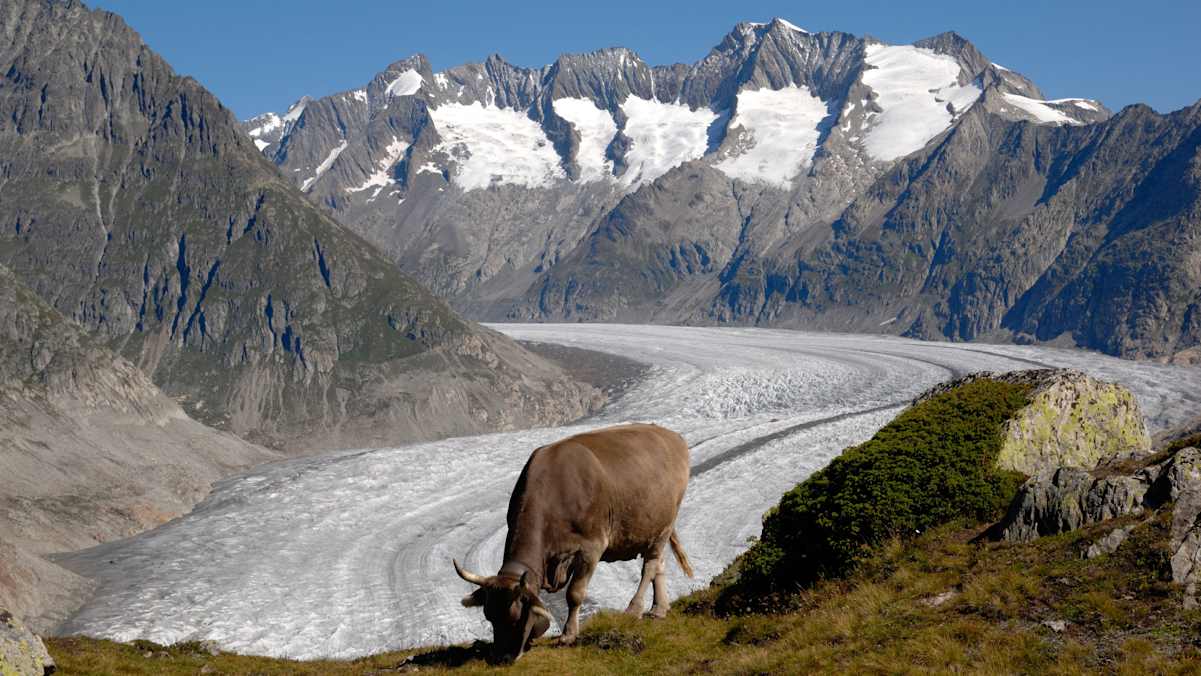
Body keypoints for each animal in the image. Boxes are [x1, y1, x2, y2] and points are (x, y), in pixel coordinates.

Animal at [453, 422, 693, 662]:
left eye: (515, 618)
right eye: (489, 617)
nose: (501, 658)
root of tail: (671, 435)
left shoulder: (591, 547)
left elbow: (574, 593)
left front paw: (568, 635)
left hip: (665, 525)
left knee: (649, 567)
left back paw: (634, 609)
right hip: (654, 528)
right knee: (659, 565)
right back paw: (659, 609)